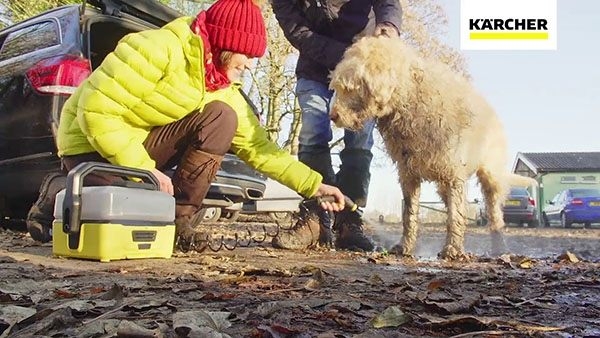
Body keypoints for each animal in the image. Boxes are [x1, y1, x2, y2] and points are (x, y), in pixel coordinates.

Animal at [330, 36, 532, 258]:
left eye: (350, 88)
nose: (333, 116)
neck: (410, 100)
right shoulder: (408, 173)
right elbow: (409, 215)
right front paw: (405, 246)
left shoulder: (454, 175)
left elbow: (455, 215)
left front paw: (452, 248)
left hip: (490, 174)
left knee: (495, 213)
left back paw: (499, 248)